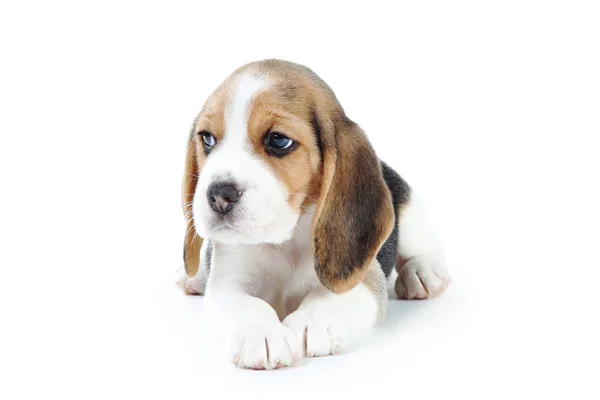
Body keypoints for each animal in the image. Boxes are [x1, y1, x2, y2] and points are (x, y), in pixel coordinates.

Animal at [178, 58, 450, 368]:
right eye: (207, 139)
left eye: (278, 140)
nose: (219, 195)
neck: (285, 239)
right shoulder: (228, 281)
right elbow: (248, 303)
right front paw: (261, 334)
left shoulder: (365, 278)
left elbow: (328, 295)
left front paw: (312, 322)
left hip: (409, 207)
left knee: (423, 245)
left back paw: (423, 273)